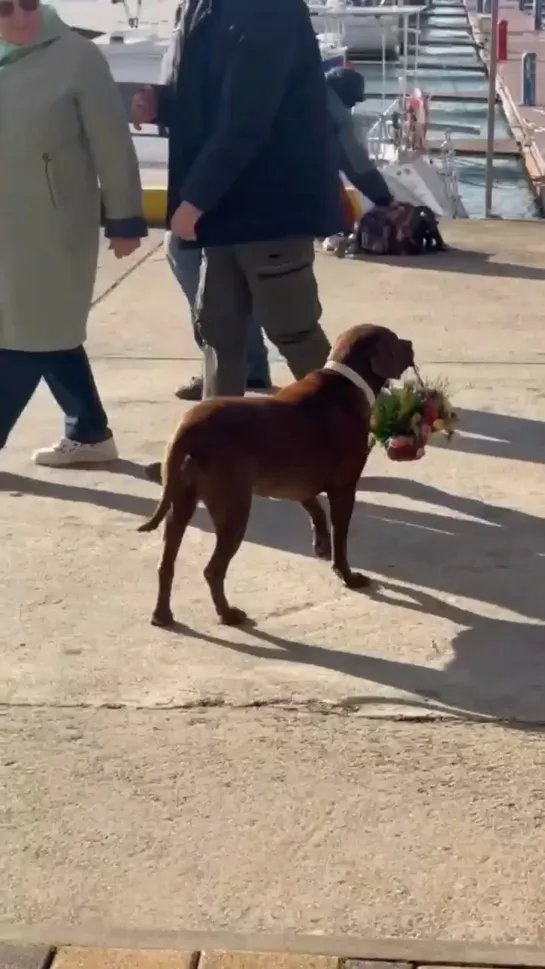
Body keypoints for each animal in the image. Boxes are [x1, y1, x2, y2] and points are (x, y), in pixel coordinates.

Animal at [138, 326, 410, 628]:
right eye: (395, 341)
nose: (410, 343)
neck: (346, 380)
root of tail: (187, 429)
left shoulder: (298, 485)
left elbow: (315, 510)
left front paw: (320, 544)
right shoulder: (344, 488)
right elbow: (340, 540)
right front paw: (348, 576)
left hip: (180, 504)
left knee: (166, 565)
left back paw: (162, 615)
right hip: (233, 511)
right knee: (212, 570)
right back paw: (228, 615)